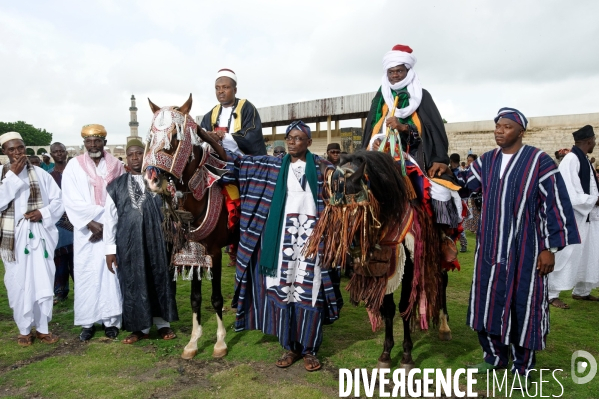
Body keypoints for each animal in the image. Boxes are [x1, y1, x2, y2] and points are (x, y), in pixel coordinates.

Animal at [143, 95, 237, 360]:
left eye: (175, 137)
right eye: (150, 137)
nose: (152, 179)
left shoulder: (214, 253)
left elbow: (215, 298)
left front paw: (220, 342)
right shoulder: (193, 253)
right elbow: (196, 298)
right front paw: (193, 342)